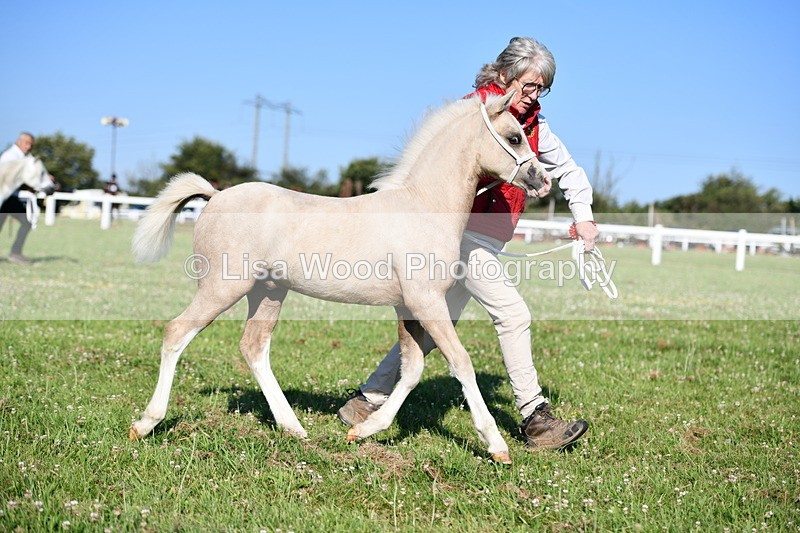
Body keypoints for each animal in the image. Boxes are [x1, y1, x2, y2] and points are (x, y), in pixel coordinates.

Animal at [129, 92, 549, 464]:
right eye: (514, 137)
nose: (542, 181)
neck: (423, 207)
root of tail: (215, 195)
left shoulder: (407, 306)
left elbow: (412, 369)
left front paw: (363, 430)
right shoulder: (426, 301)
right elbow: (459, 362)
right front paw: (496, 445)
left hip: (267, 293)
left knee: (253, 348)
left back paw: (294, 428)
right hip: (222, 288)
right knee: (176, 332)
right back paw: (146, 423)